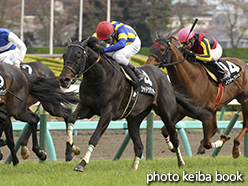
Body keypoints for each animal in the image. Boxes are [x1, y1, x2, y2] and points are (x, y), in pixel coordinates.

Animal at [58, 37, 211, 172]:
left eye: (78, 55)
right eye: (64, 55)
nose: (64, 79)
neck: (99, 78)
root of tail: (165, 80)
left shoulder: (107, 112)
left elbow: (94, 137)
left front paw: (82, 164)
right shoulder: (87, 108)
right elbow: (71, 119)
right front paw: (71, 151)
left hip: (166, 114)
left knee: (174, 138)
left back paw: (181, 162)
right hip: (134, 119)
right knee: (139, 146)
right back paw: (133, 168)